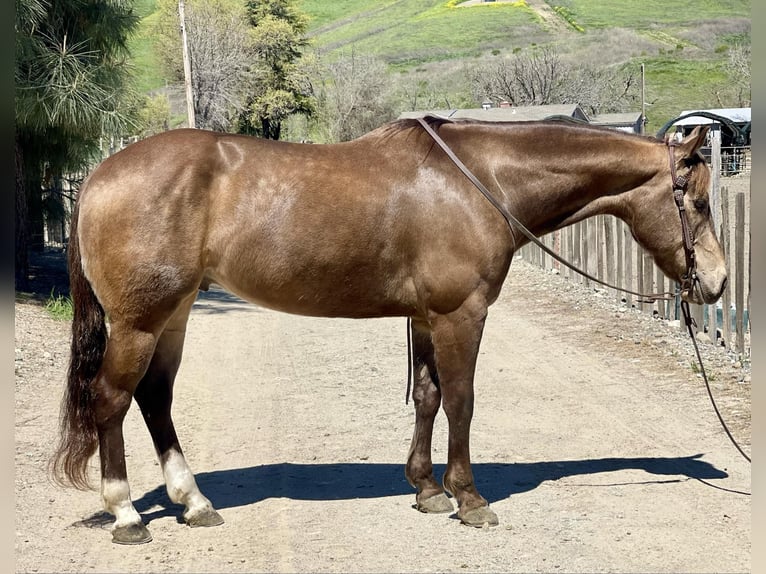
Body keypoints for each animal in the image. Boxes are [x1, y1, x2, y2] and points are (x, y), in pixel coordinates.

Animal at [51, 116, 728, 544]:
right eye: (696, 202)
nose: (717, 282)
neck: (481, 180)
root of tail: (100, 174)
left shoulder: (427, 317)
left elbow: (428, 397)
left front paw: (427, 489)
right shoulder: (461, 314)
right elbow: (461, 400)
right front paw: (469, 498)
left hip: (174, 315)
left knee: (154, 398)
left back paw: (193, 504)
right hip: (139, 321)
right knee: (111, 399)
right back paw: (127, 514)